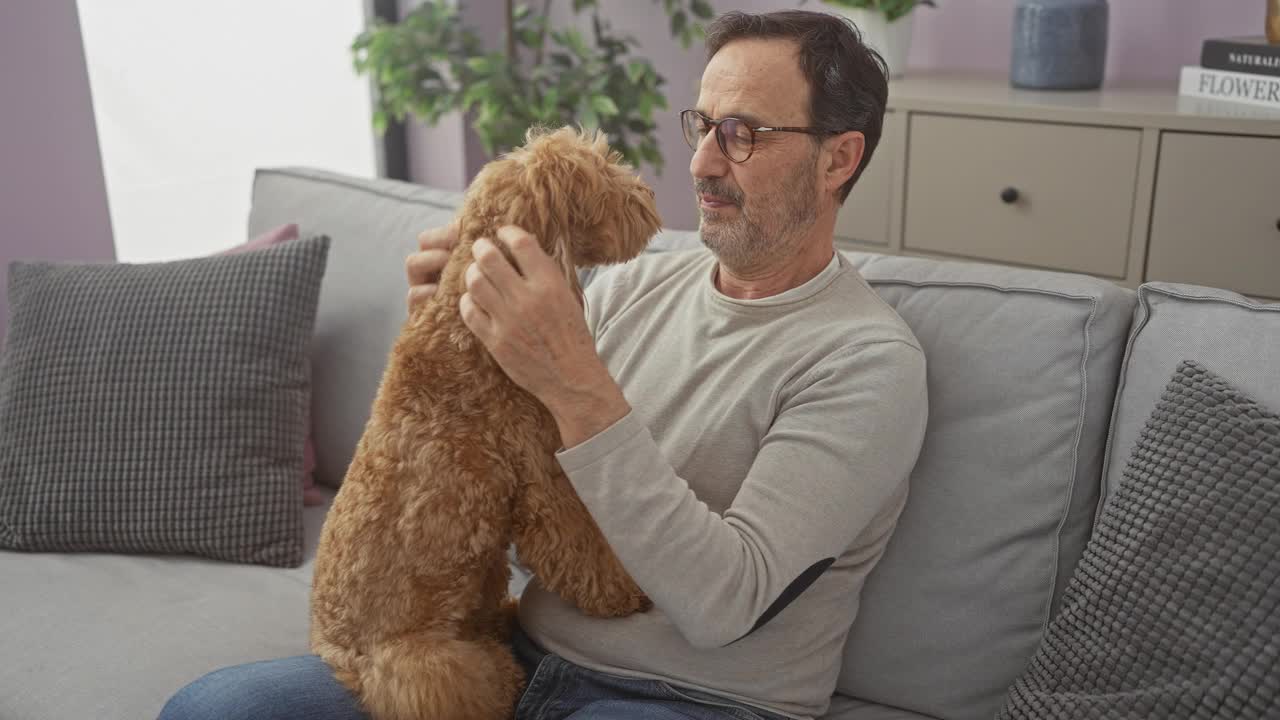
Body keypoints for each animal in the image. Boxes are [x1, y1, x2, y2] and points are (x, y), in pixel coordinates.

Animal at [312, 128, 660, 717]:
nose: (649, 199)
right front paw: (627, 593)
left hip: (487, 572)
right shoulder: (543, 479)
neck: (468, 336)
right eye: (605, 172)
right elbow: (585, 548)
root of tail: (339, 661)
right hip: (435, 666)